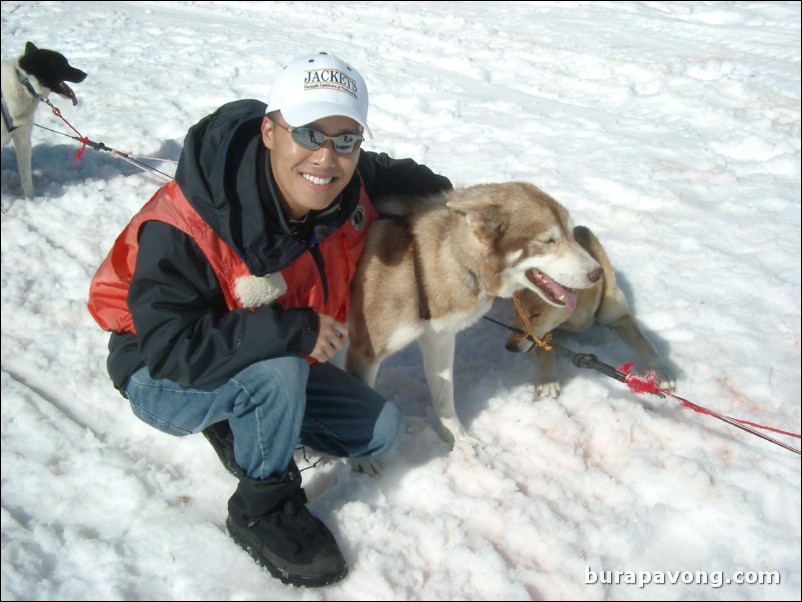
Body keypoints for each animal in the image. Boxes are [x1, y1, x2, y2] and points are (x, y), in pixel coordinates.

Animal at [1, 42, 87, 197]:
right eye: (63, 65)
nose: (85, 74)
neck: (23, 85)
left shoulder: (23, 139)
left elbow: (26, 179)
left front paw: (31, 200)